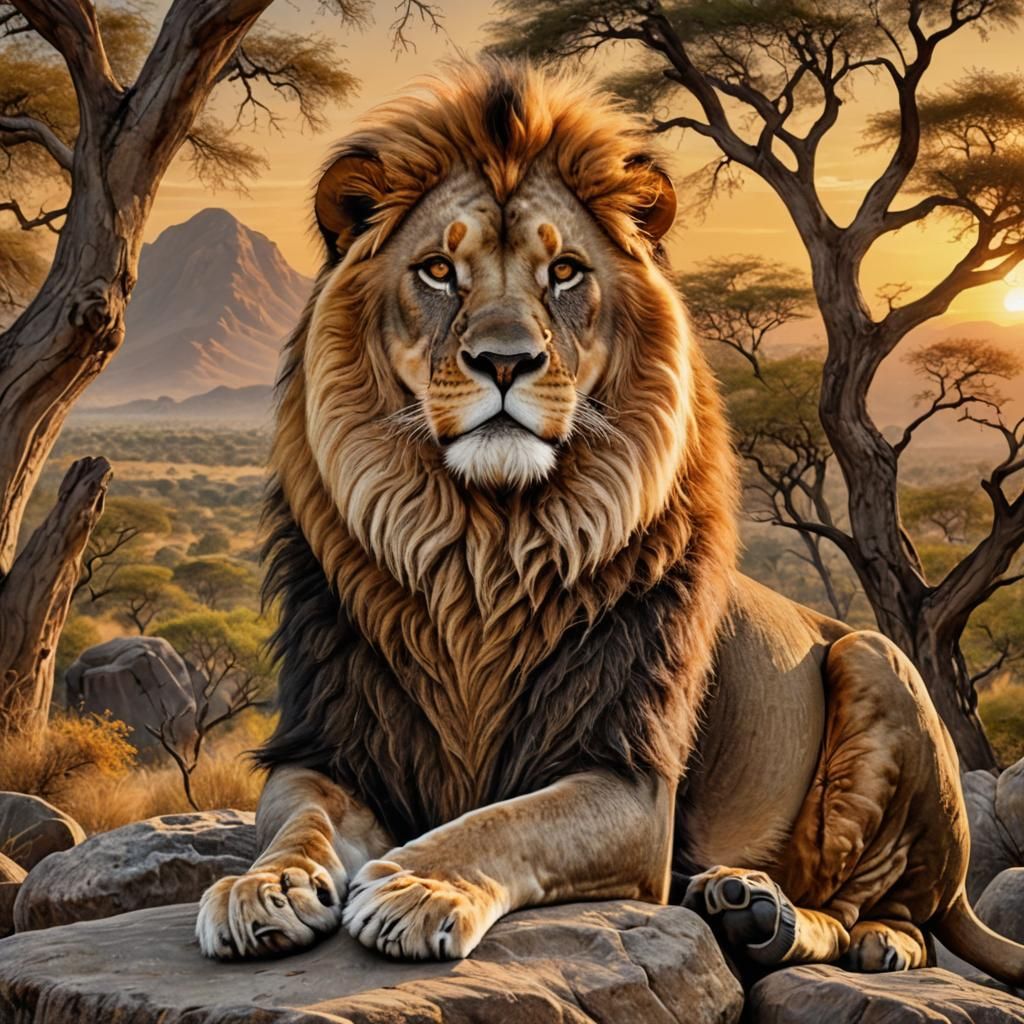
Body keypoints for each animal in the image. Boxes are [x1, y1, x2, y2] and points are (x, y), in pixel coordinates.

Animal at [195, 62, 1024, 985]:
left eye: (564, 272)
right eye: (439, 270)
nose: (506, 361)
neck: (483, 548)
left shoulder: (628, 777)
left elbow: (506, 821)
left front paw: (418, 885)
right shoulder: (330, 745)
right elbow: (297, 820)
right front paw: (260, 889)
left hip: (876, 661)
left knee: (883, 919)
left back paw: (790, 922)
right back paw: (738, 901)